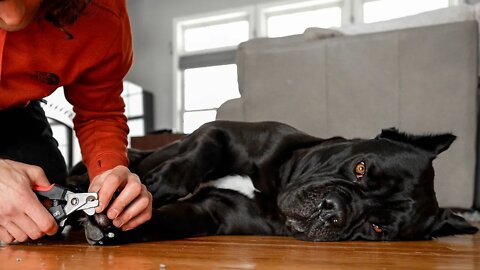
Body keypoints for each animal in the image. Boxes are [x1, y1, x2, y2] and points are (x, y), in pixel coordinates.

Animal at [66, 121, 476, 244]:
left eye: (376, 228)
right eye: (360, 168)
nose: (334, 211)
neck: (276, 186)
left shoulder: (209, 214)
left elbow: (165, 220)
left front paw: (114, 225)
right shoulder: (222, 131)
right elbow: (201, 153)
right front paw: (158, 185)